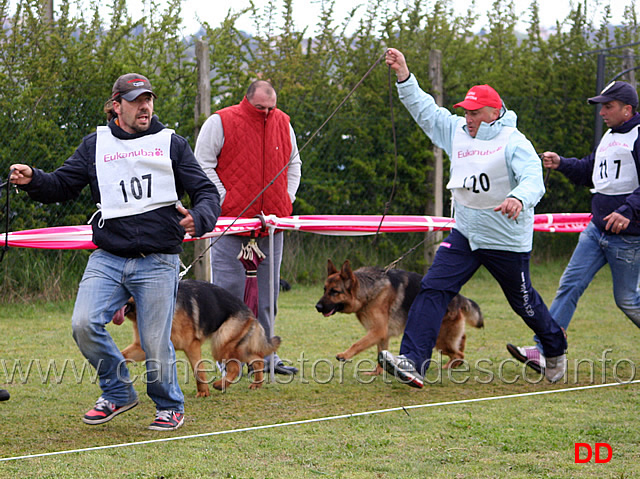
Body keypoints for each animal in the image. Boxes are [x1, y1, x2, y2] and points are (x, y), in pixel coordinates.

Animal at [115, 280, 280, 396]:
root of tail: (249, 311)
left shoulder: (192, 345)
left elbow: (198, 369)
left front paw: (203, 392)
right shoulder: (146, 347)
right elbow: (122, 355)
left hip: (221, 344)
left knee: (236, 366)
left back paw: (220, 384)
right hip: (233, 346)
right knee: (257, 359)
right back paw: (257, 384)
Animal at [316, 258, 484, 376]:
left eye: (334, 292)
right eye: (324, 289)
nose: (317, 307)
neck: (367, 291)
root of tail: (459, 297)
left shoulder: (377, 331)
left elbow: (357, 344)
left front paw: (344, 355)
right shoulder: (382, 335)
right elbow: (380, 353)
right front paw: (378, 372)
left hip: (440, 340)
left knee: (459, 354)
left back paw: (448, 367)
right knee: (461, 342)